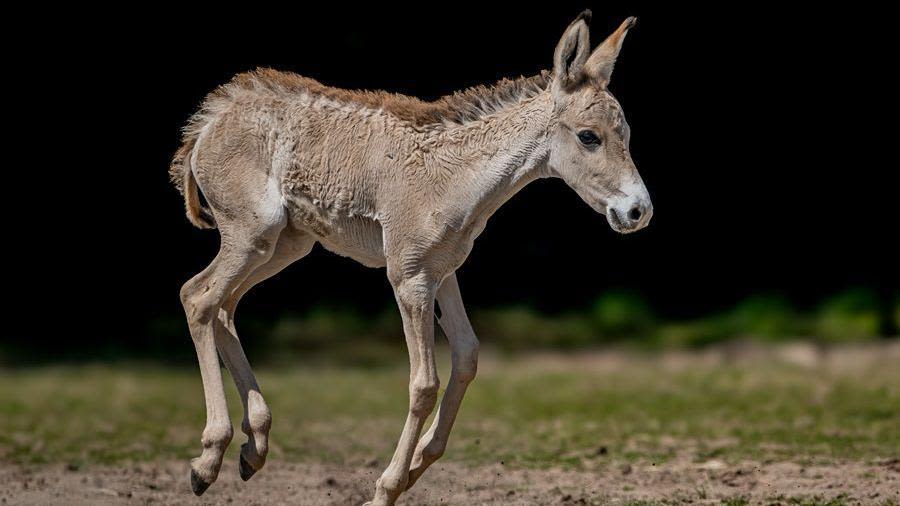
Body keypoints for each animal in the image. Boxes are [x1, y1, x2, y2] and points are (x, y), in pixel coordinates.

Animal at [169, 9, 652, 504]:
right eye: (589, 137)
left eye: (627, 134)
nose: (639, 211)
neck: (456, 178)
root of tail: (208, 120)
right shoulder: (410, 276)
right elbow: (424, 383)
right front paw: (386, 488)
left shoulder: (445, 272)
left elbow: (468, 356)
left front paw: (420, 460)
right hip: (252, 234)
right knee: (199, 298)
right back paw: (208, 460)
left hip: (284, 244)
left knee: (221, 305)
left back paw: (254, 447)